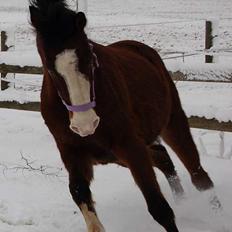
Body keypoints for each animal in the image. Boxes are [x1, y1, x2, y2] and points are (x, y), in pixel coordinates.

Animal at [29, 0, 216, 231]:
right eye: (50, 68)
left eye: (89, 59)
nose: (86, 124)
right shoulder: (72, 152)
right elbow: (80, 195)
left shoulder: (130, 146)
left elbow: (159, 208)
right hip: (120, 156)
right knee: (163, 158)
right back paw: (183, 204)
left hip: (172, 124)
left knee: (200, 177)